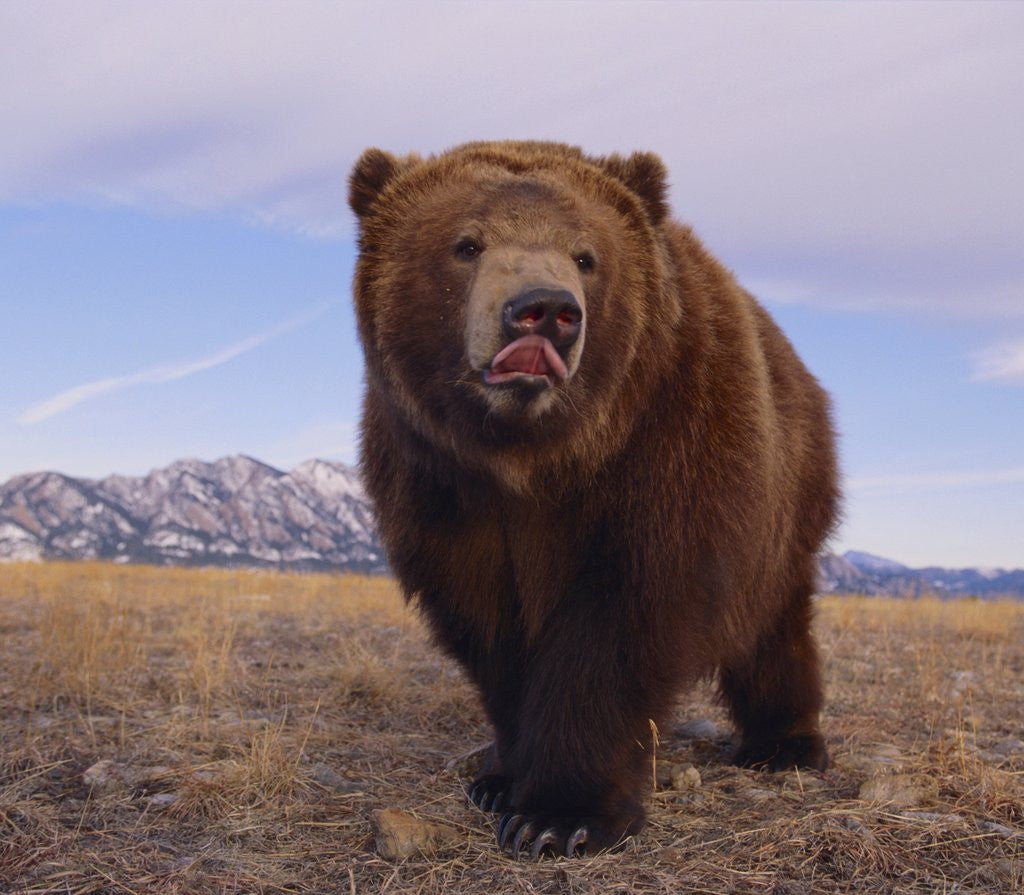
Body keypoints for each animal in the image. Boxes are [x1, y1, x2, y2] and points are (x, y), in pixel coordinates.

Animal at [348, 141, 839, 859]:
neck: (532, 459)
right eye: (466, 243)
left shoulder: (666, 446)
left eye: (586, 255)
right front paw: (502, 776)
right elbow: (491, 629)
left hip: (785, 498)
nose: (545, 310)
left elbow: (622, 620)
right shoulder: (441, 488)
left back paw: (786, 743)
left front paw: (560, 815)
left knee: (772, 627)